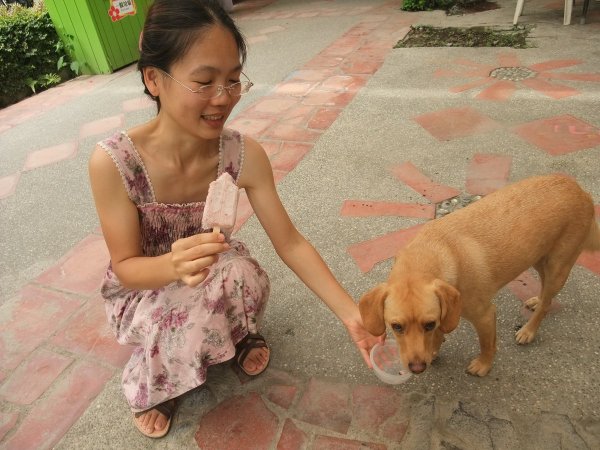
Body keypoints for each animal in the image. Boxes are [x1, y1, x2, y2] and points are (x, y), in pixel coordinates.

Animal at [358, 175, 596, 376]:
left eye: (429, 324)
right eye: (396, 327)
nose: (417, 368)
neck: (434, 251)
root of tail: (579, 189)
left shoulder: (485, 316)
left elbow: (487, 345)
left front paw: (484, 365)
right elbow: (439, 336)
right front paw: (433, 350)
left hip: (558, 267)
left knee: (548, 303)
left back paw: (529, 330)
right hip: (539, 258)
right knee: (545, 291)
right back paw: (537, 300)